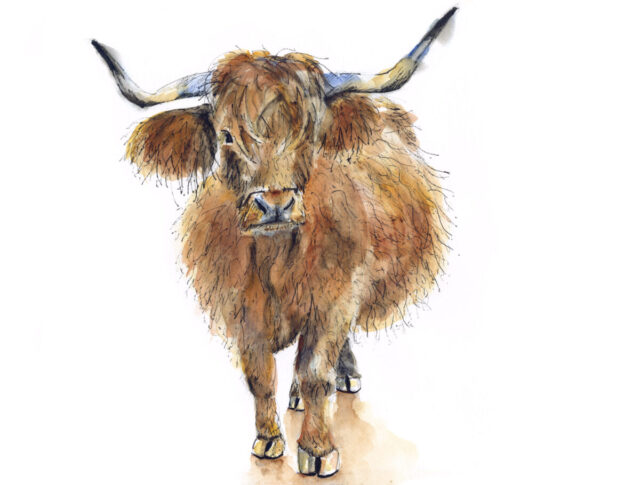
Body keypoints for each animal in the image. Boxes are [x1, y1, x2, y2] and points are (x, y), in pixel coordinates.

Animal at [93, 6, 455, 477]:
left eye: (311, 132)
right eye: (227, 135)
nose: (276, 204)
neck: (275, 258)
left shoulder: (335, 298)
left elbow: (317, 371)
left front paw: (318, 450)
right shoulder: (240, 310)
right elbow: (260, 375)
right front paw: (267, 440)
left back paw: (343, 377)